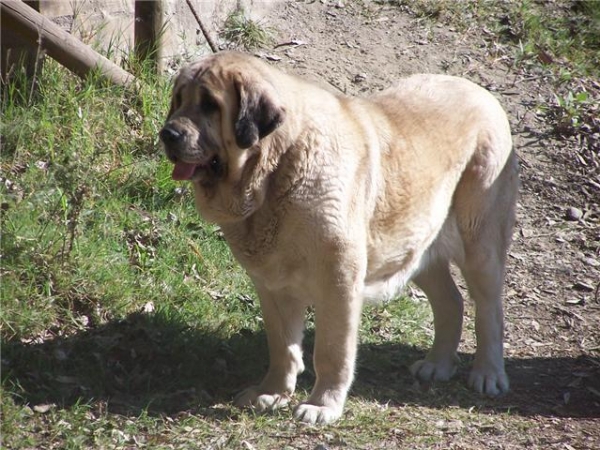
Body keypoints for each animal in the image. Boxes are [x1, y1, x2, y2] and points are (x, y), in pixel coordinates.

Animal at [159, 51, 516, 424]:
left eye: (210, 105)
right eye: (178, 100)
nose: (167, 133)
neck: (277, 168)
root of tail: (482, 92)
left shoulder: (338, 282)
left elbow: (332, 350)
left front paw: (322, 405)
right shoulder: (270, 285)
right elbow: (282, 345)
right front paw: (270, 392)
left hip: (480, 243)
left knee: (489, 310)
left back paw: (488, 374)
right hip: (414, 248)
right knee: (451, 300)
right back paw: (438, 365)